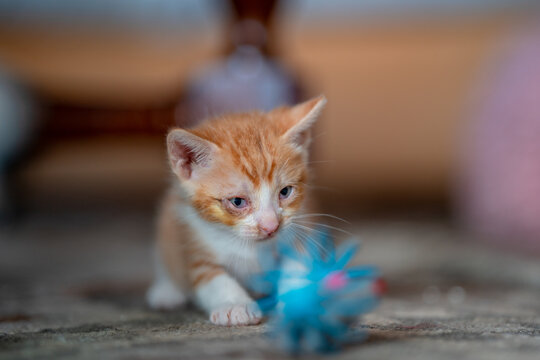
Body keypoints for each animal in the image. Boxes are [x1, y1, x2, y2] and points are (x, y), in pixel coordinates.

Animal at [146, 95, 326, 326]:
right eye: (238, 202)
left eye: (285, 192)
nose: (271, 226)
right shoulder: (195, 243)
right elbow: (213, 279)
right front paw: (235, 305)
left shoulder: (301, 232)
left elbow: (297, 268)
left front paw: (298, 306)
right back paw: (166, 291)